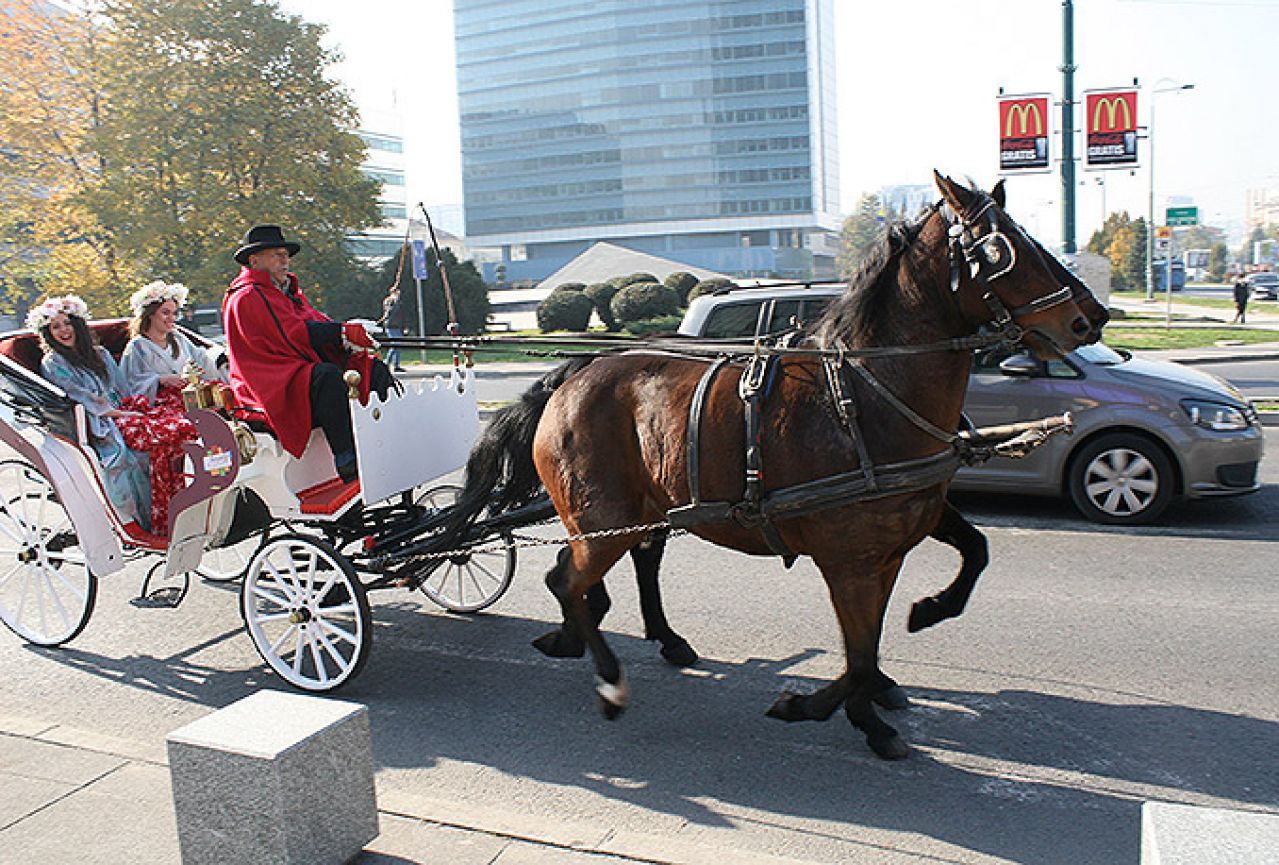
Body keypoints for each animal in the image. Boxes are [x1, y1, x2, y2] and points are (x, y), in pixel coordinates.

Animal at [445, 175, 1105, 757]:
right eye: (1001, 248)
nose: (1088, 318)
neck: (865, 392)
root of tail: (575, 373)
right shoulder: (848, 558)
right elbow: (857, 653)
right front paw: (829, 709)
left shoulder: (896, 542)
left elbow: (944, 578)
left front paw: (911, 637)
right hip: (602, 517)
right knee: (568, 579)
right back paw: (607, 676)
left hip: (639, 510)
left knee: (610, 571)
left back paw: (628, 638)